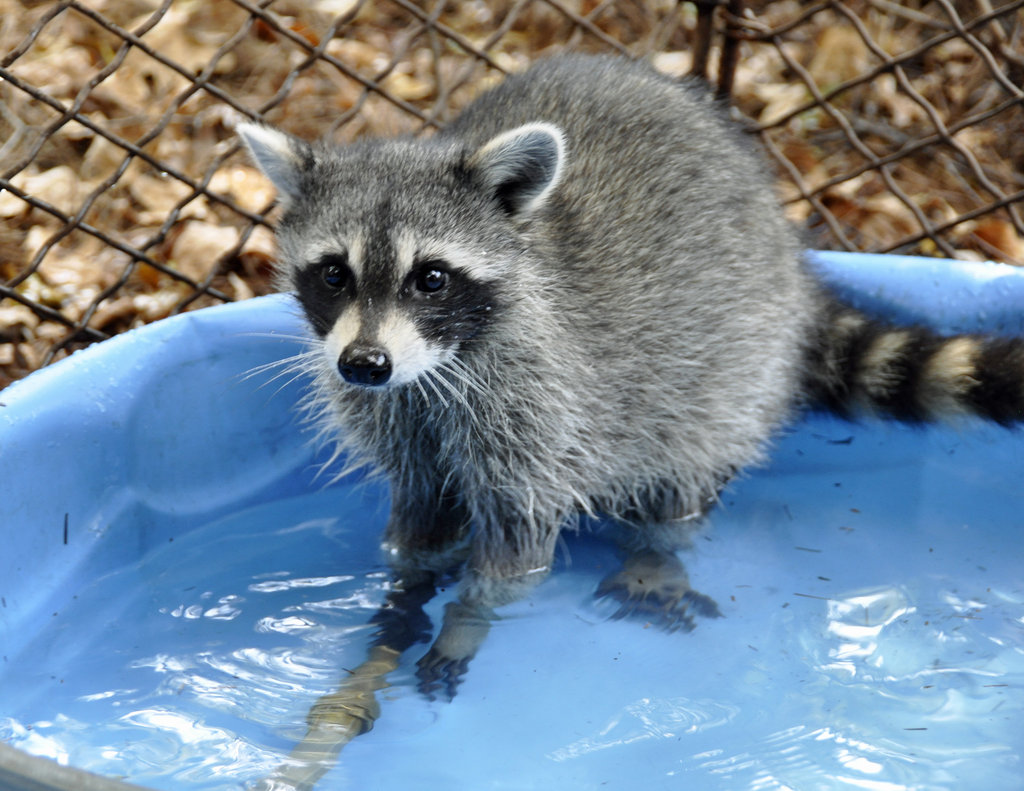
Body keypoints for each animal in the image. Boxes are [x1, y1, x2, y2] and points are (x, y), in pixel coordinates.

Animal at [238, 54, 1024, 699]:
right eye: (333, 274)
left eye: (430, 278)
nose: (364, 364)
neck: (431, 371)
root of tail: (788, 256)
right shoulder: (398, 416)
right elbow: (419, 519)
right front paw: (402, 595)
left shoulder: (538, 405)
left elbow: (517, 553)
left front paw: (466, 618)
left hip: (730, 358)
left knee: (683, 462)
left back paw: (656, 550)